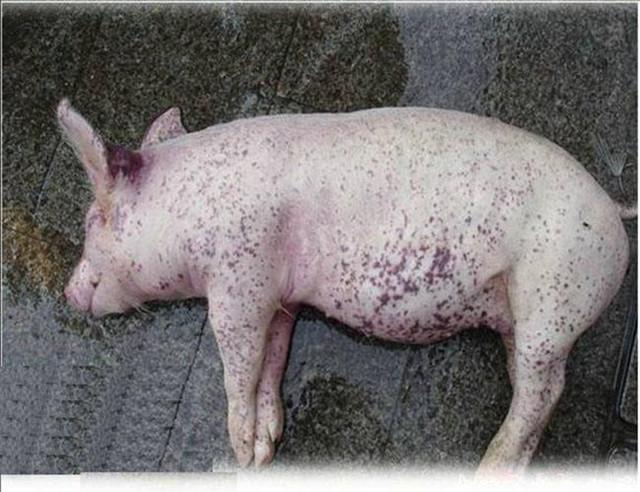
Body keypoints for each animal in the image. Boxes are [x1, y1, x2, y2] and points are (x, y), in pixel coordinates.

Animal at [58, 98, 635, 474]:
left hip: (554, 293)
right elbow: (271, 360)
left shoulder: (238, 277)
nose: (67, 292)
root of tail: (614, 210)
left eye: (91, 220)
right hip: (526, 314)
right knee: (544, 388)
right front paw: (266, 448)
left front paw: (240, 454)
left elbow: (237, 362)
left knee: (541, 391)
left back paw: (487, 469)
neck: (188, 210)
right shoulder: (279, 296)